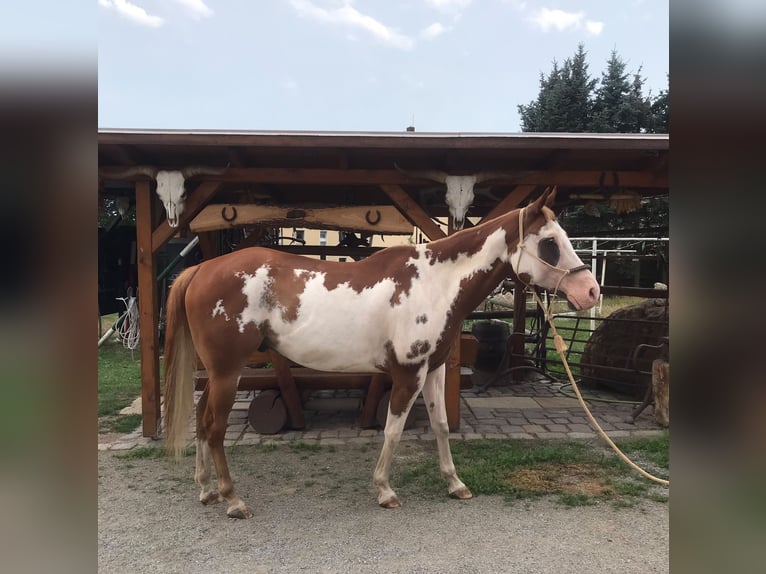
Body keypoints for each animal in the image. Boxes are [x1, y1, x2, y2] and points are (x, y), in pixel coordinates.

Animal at [163, 187, 600, 518]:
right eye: (549, 242)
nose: (591, 291)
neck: (435, 283)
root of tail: (200, 270)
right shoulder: (409, 373)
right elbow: (392, 430)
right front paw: (385, 491)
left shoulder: (434, 369)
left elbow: (441, 426)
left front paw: (455, 483)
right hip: (227, 372)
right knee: (215, 429)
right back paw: (233, 500)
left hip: (218, 374)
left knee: (202, 422)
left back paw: (207, 490)